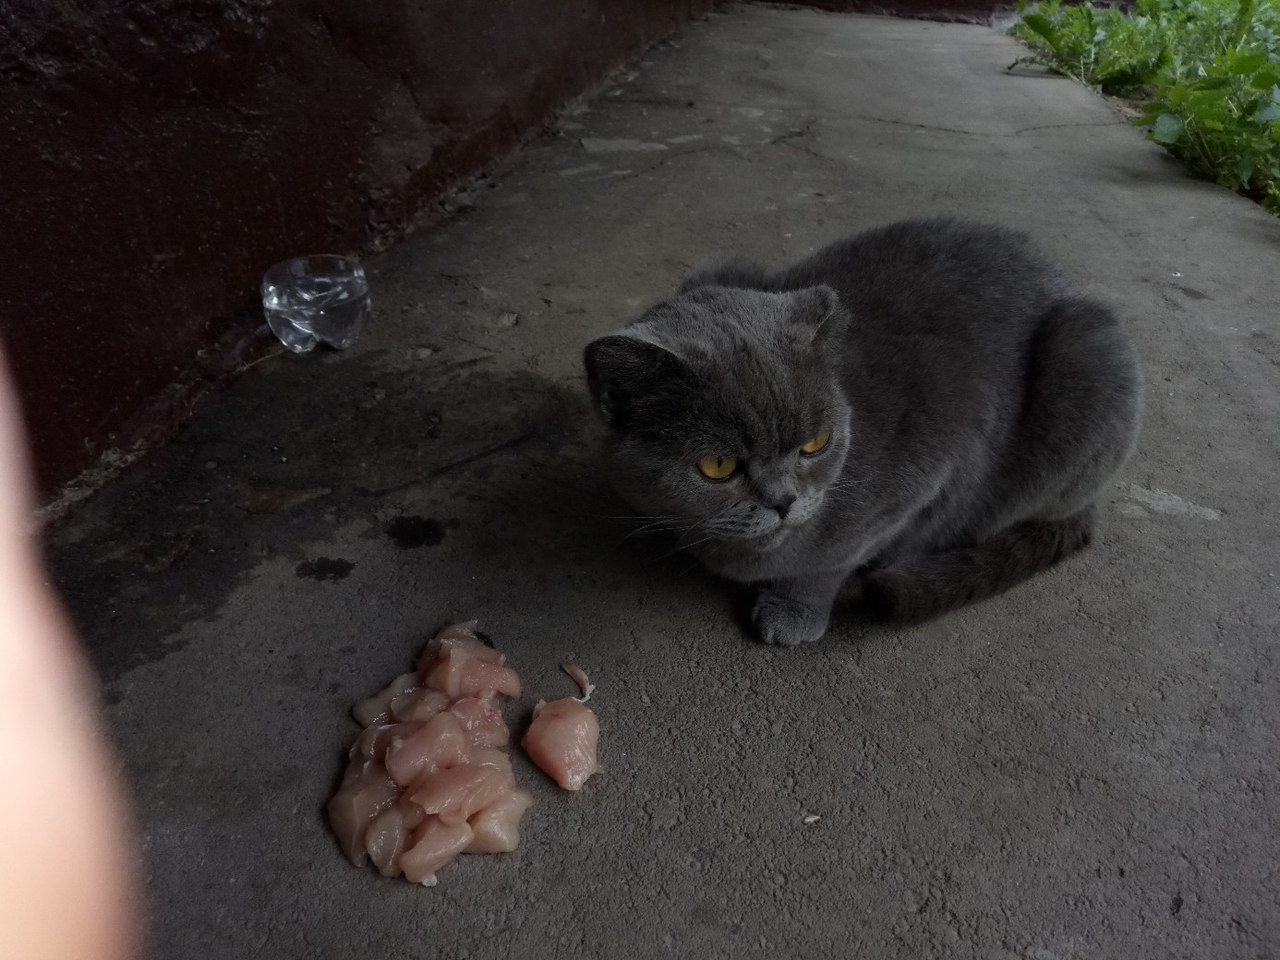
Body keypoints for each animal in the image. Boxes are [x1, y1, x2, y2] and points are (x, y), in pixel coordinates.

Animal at [586, 220, 1146, 647]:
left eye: (815, 444)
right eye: (717, 466)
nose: (785, 501)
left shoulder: (929, 464)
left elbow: (831, 562)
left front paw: (794, 612)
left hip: (1088, 351)